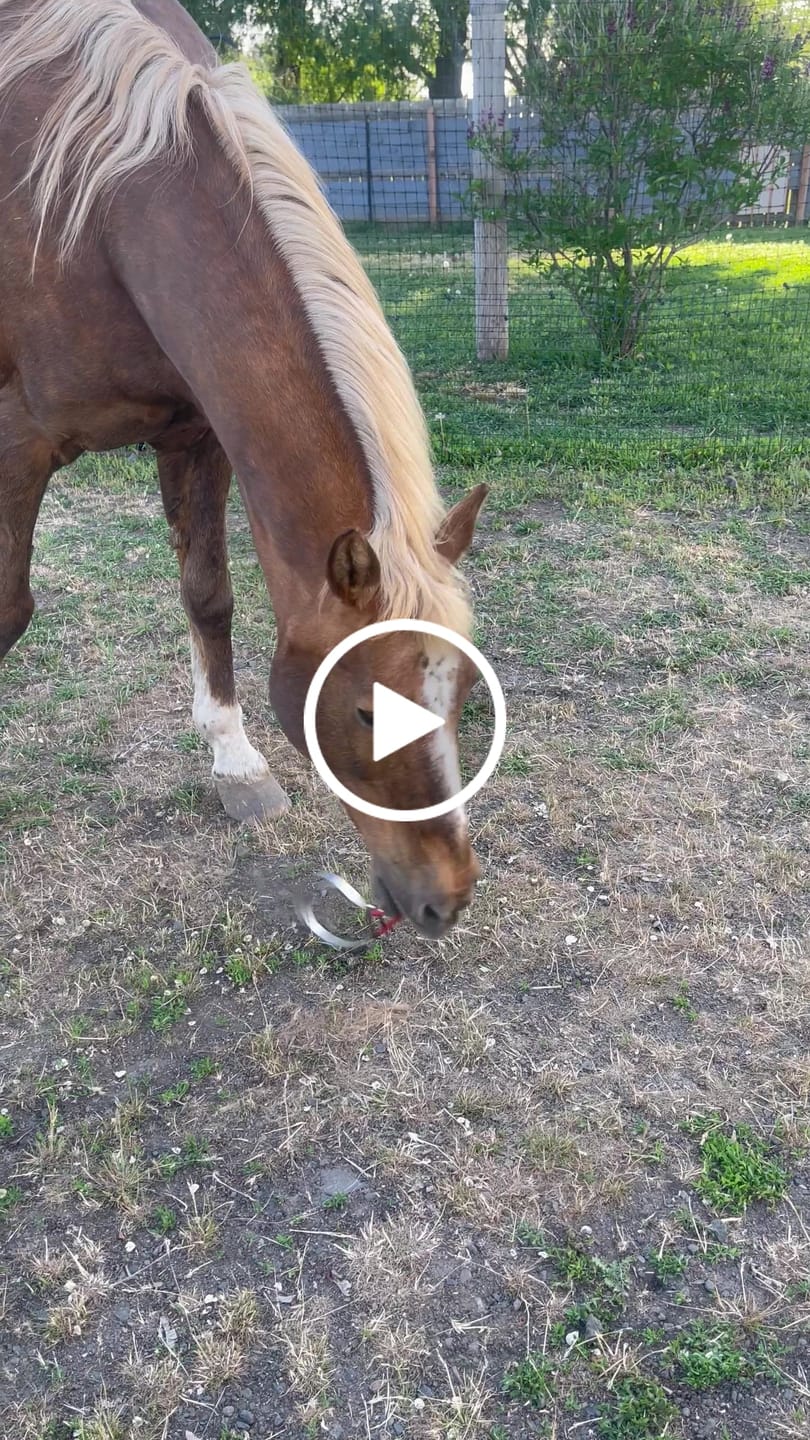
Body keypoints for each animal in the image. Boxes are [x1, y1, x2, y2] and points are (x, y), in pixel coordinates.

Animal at [0, 0, 488, 938]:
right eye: (367, 708)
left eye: (463, 698)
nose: (447, 900)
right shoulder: (18, 445)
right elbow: (9, 612)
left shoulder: (197, 433)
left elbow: (209, 597)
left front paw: (237, 764)